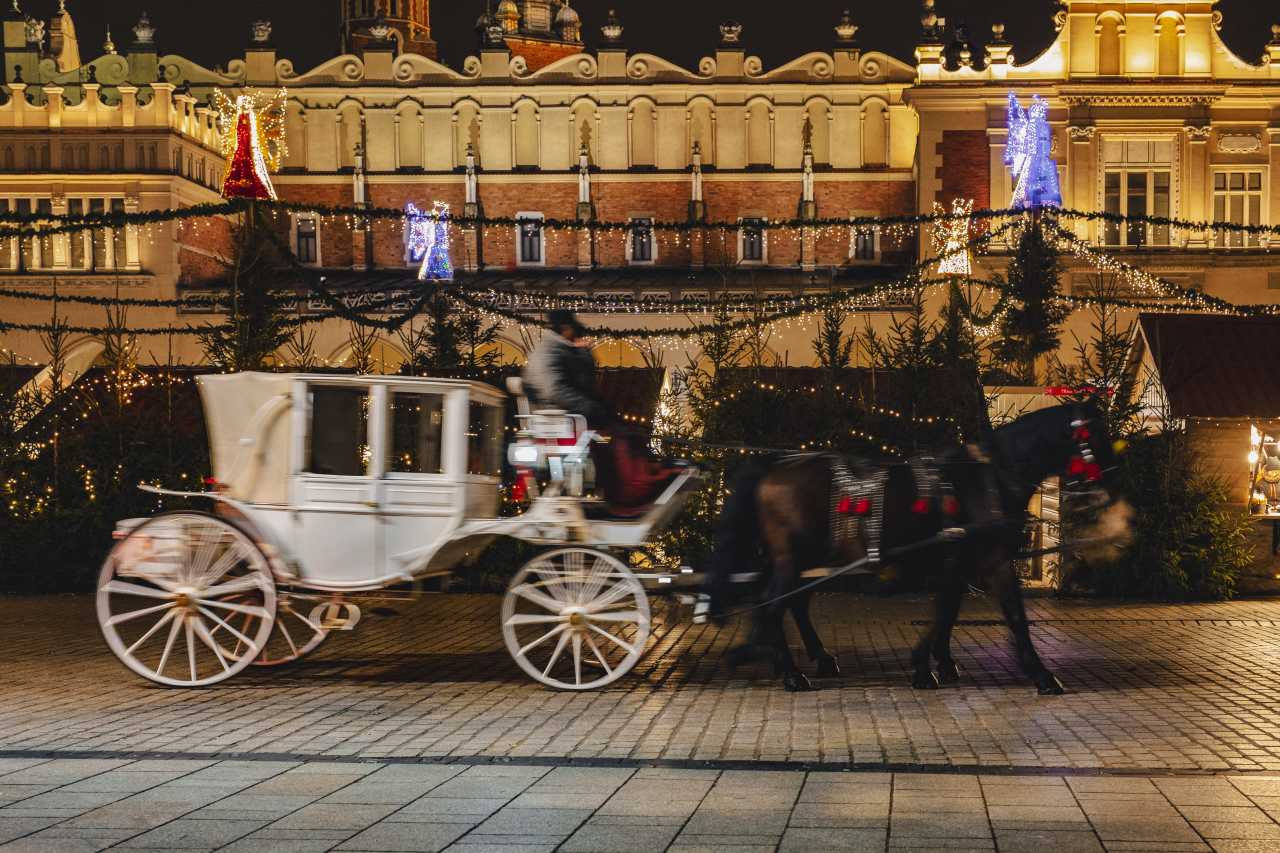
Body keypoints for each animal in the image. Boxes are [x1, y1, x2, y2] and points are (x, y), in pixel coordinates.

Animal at [706, 404, 1136, 691]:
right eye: (1095, 437)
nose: (1115, 483)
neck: (990, 479)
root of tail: (774, 466)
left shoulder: (961, 562)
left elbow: (947, 613)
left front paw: (936, 664)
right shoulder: (990, 560)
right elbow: (1008, 614)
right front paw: (1041, 675)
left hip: (808, 558)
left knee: (789, 604)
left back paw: (800, 658)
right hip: (793, 557)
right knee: (773, 605)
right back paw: (790, 672)